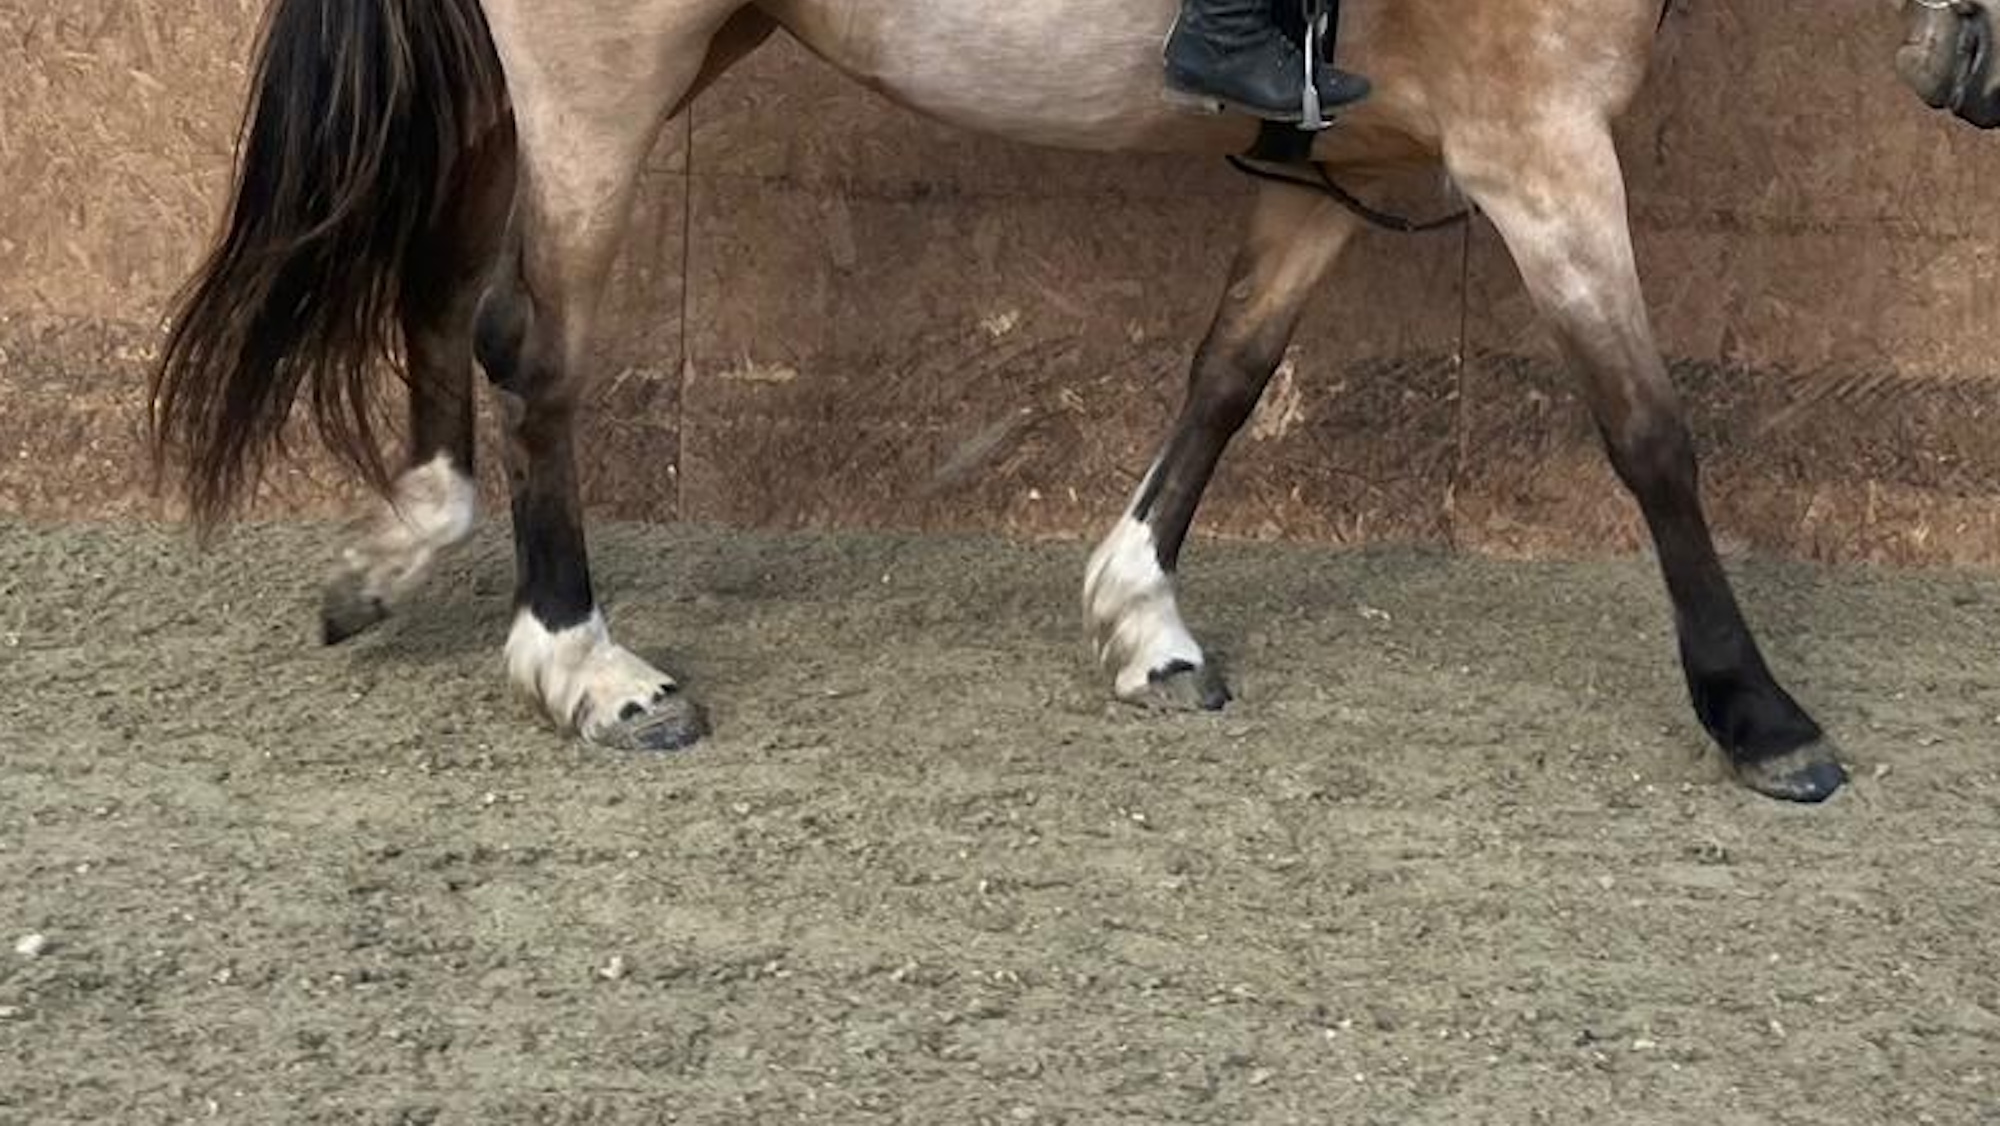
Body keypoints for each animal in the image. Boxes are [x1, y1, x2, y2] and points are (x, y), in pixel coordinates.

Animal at [148, 0, 1851, 803]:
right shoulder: (1537, 147)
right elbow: (1649, 434)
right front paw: (1759, 713)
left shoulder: (1343, 160)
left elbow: (1230, 370)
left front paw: (1143, 616)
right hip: (606, 72)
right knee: (534, 342)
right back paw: (589, 664)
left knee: (439, 271)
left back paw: (400, 547)